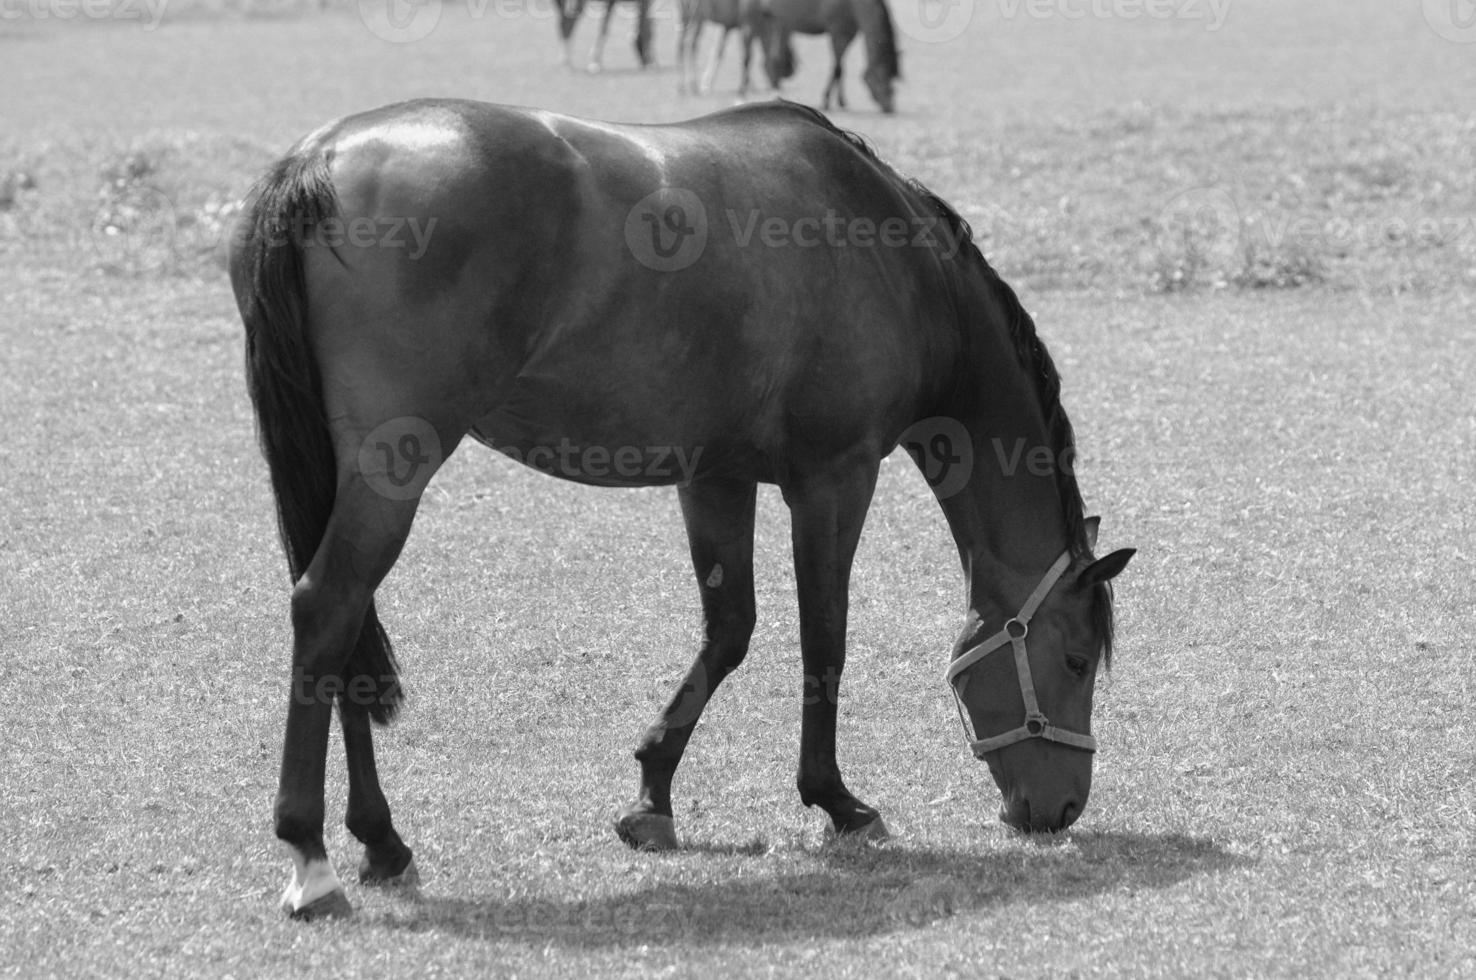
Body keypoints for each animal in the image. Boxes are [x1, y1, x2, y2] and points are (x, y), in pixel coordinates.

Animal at [230, 97, 1133, 920]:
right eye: (1076, 661)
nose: (1061, 810)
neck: (896, 259)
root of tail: (318, 158)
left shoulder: (715, 478)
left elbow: (728, 630)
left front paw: (653, 797)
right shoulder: (833, 480)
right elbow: (825, 639)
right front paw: (837, 800)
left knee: (347, 631)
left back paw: (381, 841)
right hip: (394, 470)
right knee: (328, 608)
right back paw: (311, 860)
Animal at [755, 0, 891, 112]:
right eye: (881, 78)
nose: (890, 106)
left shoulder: (850, 33)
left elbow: (841, 68)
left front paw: (841, 101)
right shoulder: (837, 32)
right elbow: (837, 68)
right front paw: (826, 101)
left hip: (782, 22)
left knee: (775, 54)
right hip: (777, 20)